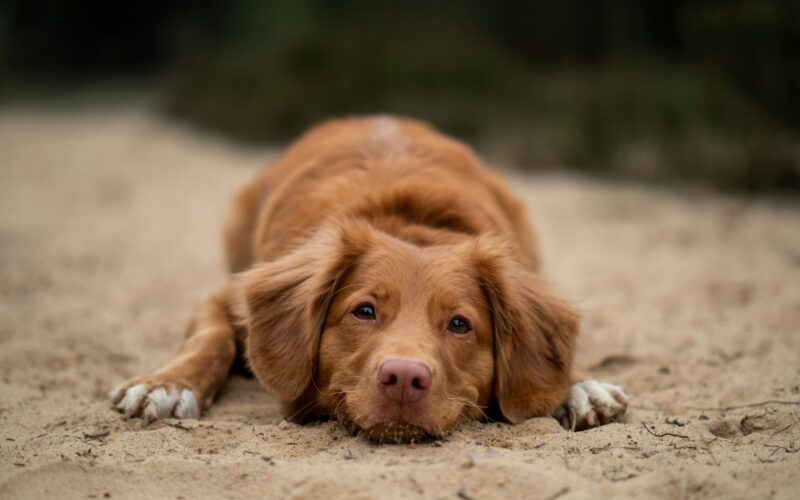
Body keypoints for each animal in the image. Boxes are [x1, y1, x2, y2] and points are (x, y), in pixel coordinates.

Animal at [109, 116, 628, 442]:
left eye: (460, 325)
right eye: (364, 311)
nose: (404, 378)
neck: (408, 222)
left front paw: (578, 385)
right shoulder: (226, 296)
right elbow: (210, 338)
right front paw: (168, 384)